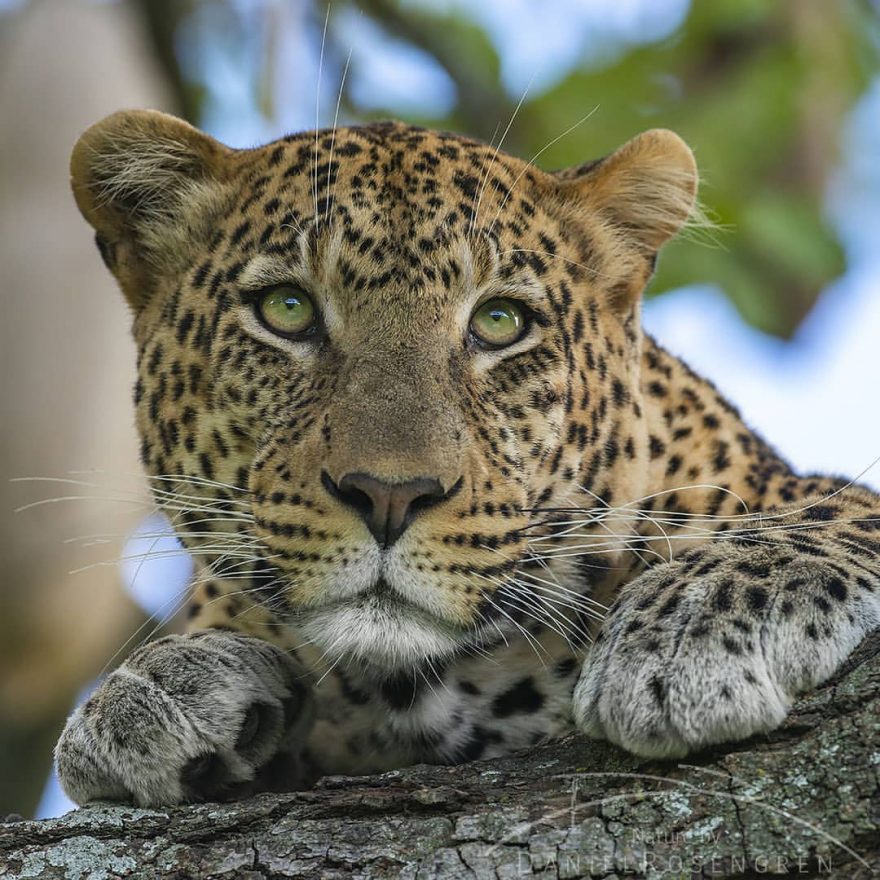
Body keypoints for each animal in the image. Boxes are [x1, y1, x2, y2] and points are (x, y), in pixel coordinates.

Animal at [53, 108, 880, 804]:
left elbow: (825, 513)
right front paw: (152, 690)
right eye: (286, 309)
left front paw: (685, 633)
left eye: (500, 320)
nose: (390, 496)